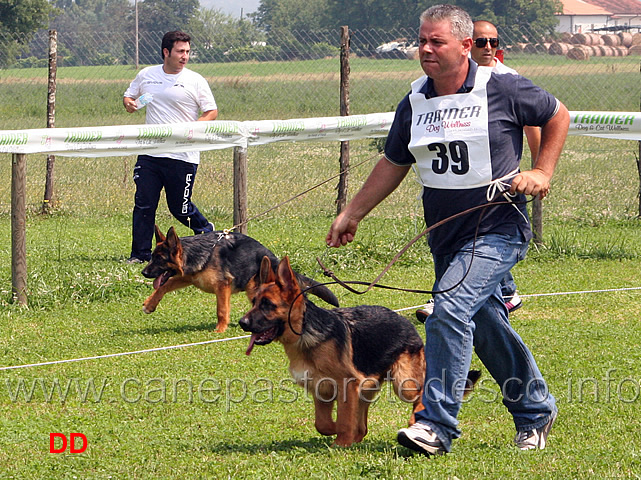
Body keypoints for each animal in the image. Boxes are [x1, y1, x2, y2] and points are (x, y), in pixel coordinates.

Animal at [140, 226, 340, 334]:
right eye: (152, 257)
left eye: (159, 259)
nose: (143, 272)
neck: (199, 252)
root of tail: (274, 260)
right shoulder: (189, 277)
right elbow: (163, 286)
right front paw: (150, 304)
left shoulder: (223, 286)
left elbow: (221, 310)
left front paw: (220, 329)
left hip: (254, 287)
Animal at [240, 256, 480, 448]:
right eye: (254, 302)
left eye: (268, 305)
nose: (242, 323)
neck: (305, 333)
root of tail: (406, 322)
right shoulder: (322, 390)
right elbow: (323, 423)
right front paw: (337, 432)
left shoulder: (347, 385)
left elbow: (345, 420)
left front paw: (341, 442)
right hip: (368, 387)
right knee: (363, 424)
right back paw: (359, 436)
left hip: (404, 383)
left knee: (422, 391)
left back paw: (415, 421)